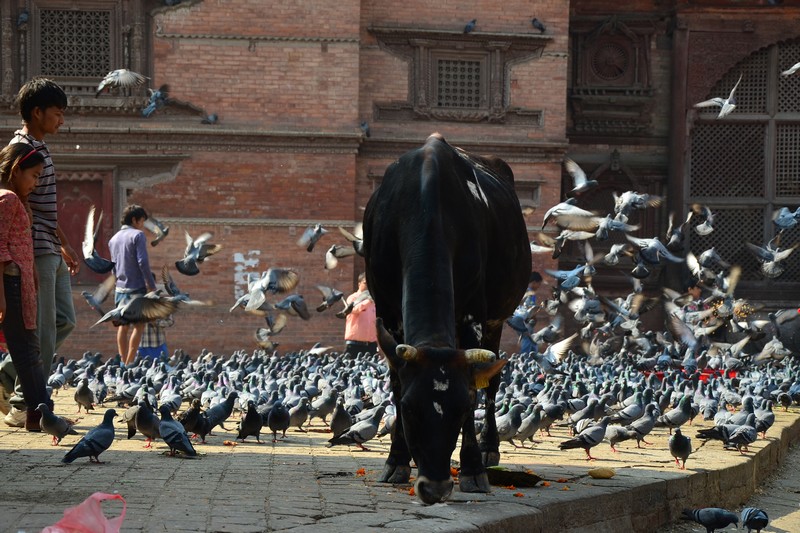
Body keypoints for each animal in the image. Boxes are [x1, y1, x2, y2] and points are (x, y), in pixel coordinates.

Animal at [362, 133, 532, 502]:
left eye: (461, 408)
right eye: (409, 409)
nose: (435, 487)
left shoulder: (474, 312)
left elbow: (476, 384)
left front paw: (472, 470)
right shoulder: (387, 310)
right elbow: (396, 383)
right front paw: (397, 461)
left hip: (497, 319)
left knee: (493, 381)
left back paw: (489, 447)